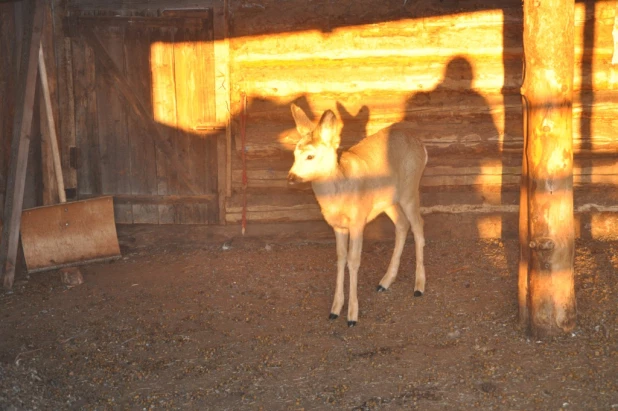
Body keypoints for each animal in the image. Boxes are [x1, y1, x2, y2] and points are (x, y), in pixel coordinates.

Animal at [286, 104, 426, 326]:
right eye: (294, 154)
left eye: (310, 156)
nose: (291, 177)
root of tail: (422, 146)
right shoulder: (338, 226)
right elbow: (340, 258)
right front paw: (335, 309)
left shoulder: (358, 221)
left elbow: (353, 261)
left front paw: (352, 315)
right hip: (387, 200)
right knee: (402, 225)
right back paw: (385, 282)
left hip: (410, 189)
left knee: (419, 226)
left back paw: (419, 286)